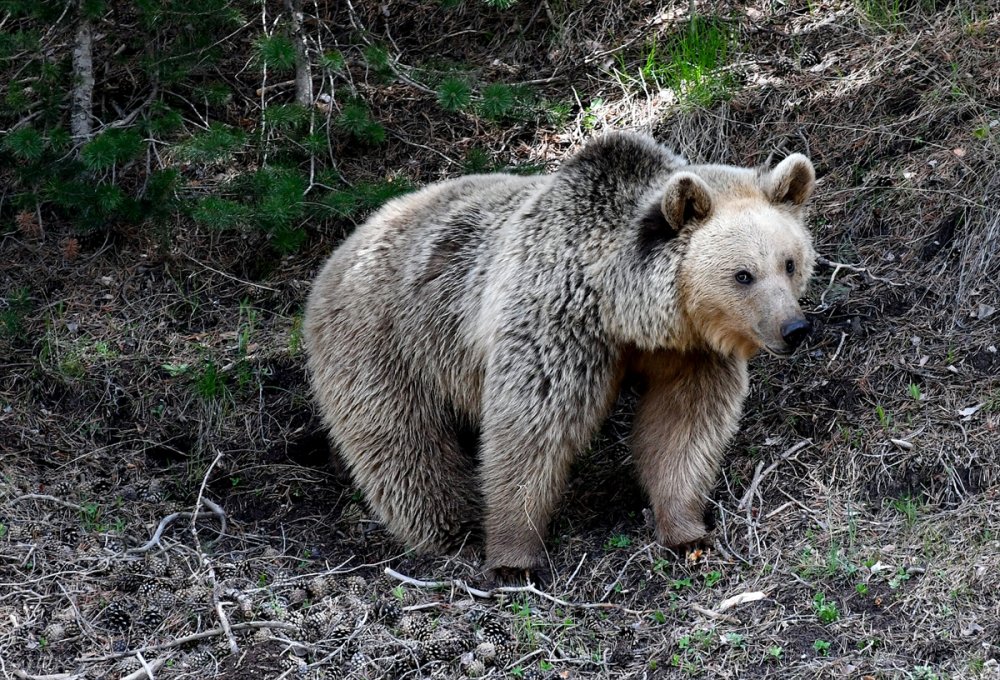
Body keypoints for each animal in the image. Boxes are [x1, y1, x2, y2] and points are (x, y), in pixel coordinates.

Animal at [300, 134, 816, 580]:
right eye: (743, 275)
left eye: (789, 263)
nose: (795, 328)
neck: (623, 310)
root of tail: (338, 251)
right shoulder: (557, 323)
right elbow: (531, 431)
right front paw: (514, 556)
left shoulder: (688, 354)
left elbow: (682, 427)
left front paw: (686, 530)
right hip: (387, 342)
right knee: (401, 443)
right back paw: (451, 527)